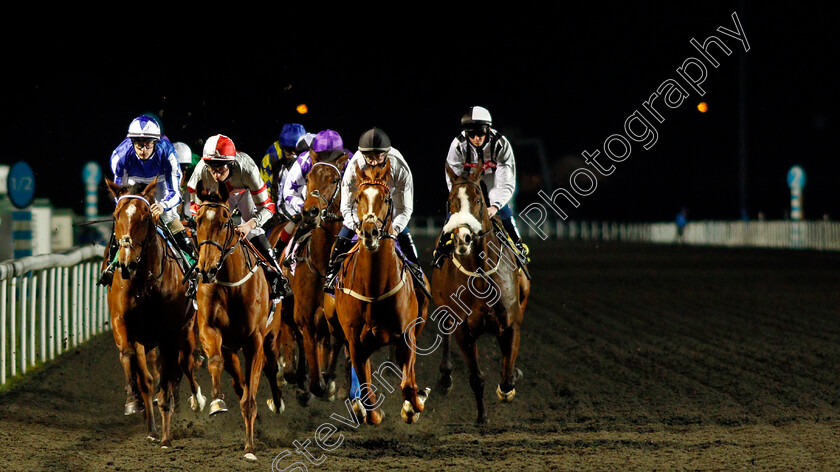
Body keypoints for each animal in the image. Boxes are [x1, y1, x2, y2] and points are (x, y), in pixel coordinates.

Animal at [104, 179, 205, 448]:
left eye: (146, 216)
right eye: (116, 215)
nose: (126, 264)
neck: (145, 283)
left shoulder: (170, 334)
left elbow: (169, 378)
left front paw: (166, 436)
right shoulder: (125, 325)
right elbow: (134, 365)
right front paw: (134, 403)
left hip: (186, 330)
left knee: (186, 364)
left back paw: (199, 400)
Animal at [195, 182, 288, 460]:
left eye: (225, 221)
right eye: (197, 220)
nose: (206, 269)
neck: (230, 283)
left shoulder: (254, 340)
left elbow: (250, 395)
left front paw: (249, 447)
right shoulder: (212, 332)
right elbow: (216, 363)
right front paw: (216, 401)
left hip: (272, 336)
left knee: (270, 367)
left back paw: (277, 403)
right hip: (232, 350)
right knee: (240, 383)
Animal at [332, 159, 430, 424]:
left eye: (386, 198)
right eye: (358, 198)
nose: (369, 232)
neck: (374, 289)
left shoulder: (407, 335)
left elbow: (408, 386)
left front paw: (414, 406)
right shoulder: (355, 342)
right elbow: (367, 395)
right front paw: (367, 411)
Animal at [434, 163, 532, 424]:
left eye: (478, 199)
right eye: (450, 200)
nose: (463, 238)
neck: (481, 273)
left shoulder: (511, 323)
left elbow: (507, 376)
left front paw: (510, 383)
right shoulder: (464, 331)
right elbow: (476, 377)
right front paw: (482, 417)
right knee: (444, 331)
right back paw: (445, 379)